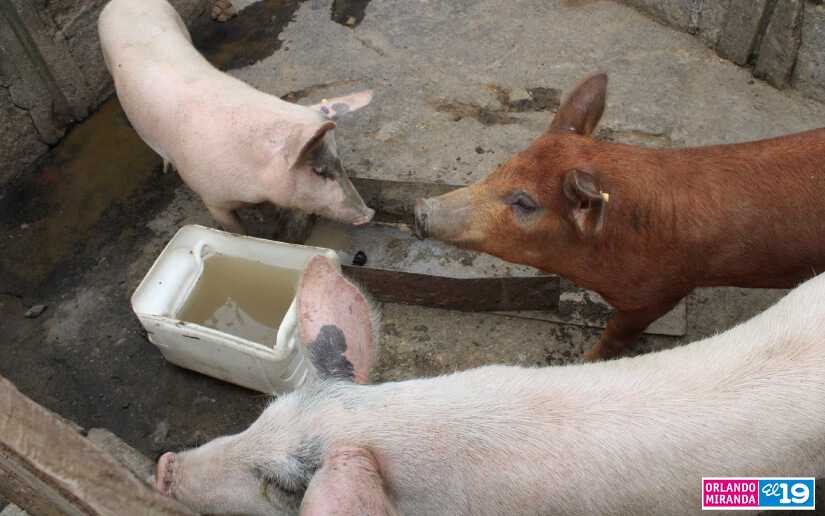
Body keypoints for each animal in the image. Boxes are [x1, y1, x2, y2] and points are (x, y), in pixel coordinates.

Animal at [97, 0, 376, 232]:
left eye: (340, 160)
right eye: (319, 171)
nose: (369, 213)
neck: (254, 176)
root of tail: (117, 3)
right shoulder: (211, 198)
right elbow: (235, 229)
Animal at [416, 74, 824, 360]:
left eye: (525, 202)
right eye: (501, 167)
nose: (421, 210)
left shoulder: (662, 292)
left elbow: (617, 334)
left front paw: (586, 359)